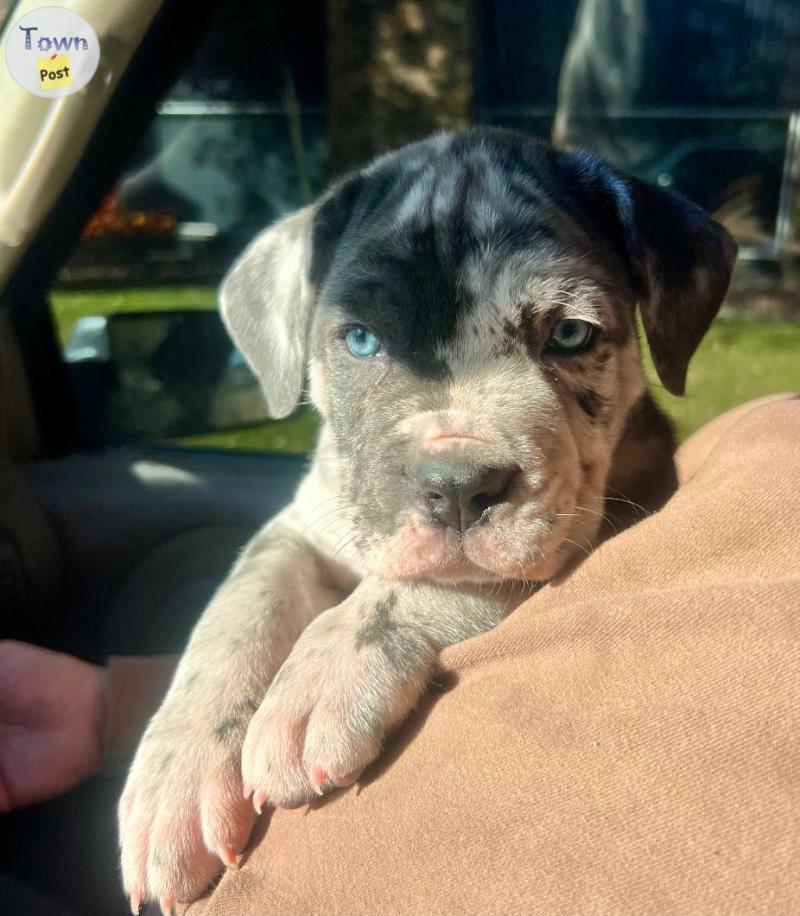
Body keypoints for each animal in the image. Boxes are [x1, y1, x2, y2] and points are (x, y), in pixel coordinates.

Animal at [115, 127, 736, 908]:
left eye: (569, 334)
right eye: (360, 341)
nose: (460, 488)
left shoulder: (584, 526)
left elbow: (425, 587)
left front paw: (326, 670)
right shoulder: (299, 529)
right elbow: (235, 615)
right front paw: (175, 775)